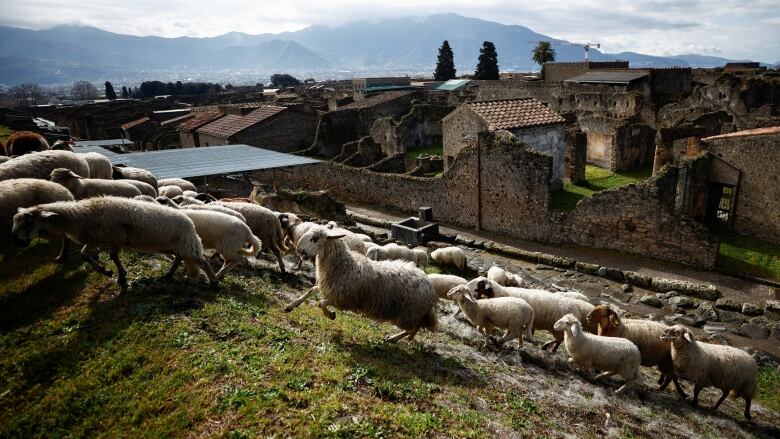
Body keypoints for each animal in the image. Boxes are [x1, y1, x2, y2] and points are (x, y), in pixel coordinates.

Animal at [12, 196, 218, 292]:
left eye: (28, 222)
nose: (18, 242)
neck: (81, 216)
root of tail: (189, 221)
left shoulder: (115, 238)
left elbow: (113, 256)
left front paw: (120, 276)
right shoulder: (96, 239)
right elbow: (85, 254)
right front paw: (106, 271)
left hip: (188, 244)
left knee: (202, 261)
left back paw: (214, 281)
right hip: (172, 246)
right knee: (178, 259)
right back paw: (168, 275)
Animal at [284, 227, 438, 344]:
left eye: (315, 238)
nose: (299, 250)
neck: (343, 266)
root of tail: (429, 285)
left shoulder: (343, 299)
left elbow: (320, 303)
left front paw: (331, 315)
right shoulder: (328, 288)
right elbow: (310, 291)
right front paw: (291, 306)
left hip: (409, 313)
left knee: (415, 328)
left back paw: (396, 338)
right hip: (412, 313)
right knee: (416, 328)